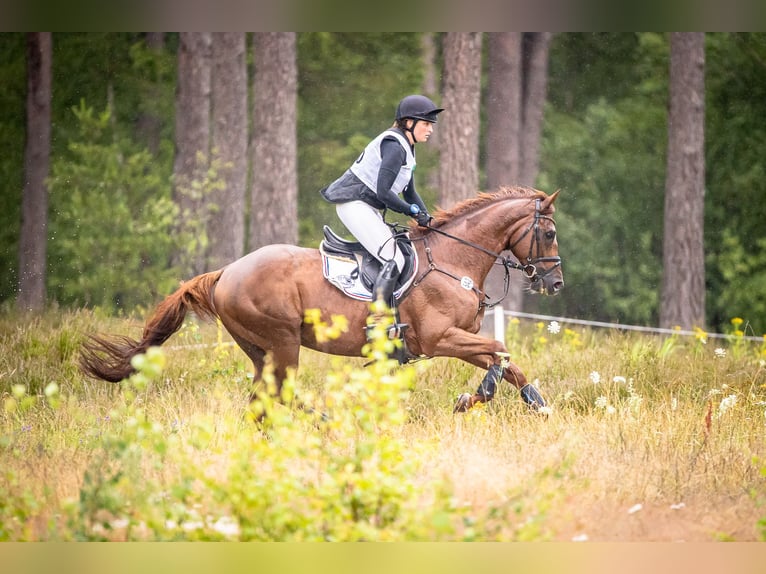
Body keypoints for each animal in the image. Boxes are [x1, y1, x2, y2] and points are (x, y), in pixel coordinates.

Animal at [81, 188, 568, 414]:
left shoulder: (454, 339)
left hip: (261, 350)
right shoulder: (439, 338)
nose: (557, 282)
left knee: (262, 400)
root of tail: (226, 273)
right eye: (548, 233)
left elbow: (507, 362)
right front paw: (472, 399)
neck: (454, 258)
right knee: (280, 395)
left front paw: (540, 406)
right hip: (282, 342)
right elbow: (500, 353)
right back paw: (324, 420)